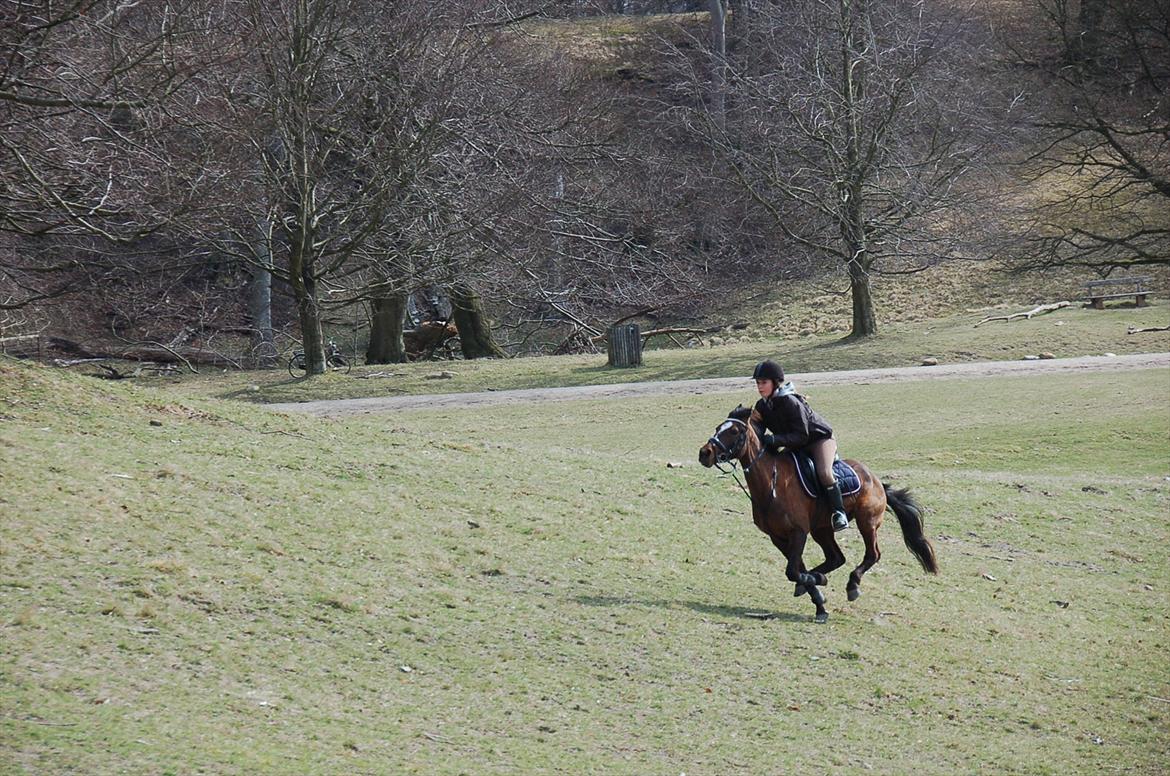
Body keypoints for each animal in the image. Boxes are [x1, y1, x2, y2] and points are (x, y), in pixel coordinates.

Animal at [697, 402, 935, 622]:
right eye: (718, 427)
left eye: (734, 431)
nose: (704, 453)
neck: (771, 483)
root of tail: (876, 480)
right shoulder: (778, 537)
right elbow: (796, 570)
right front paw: (819, 602)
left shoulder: (798, 532)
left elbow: (793, 571)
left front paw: (817, 583)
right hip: (822, 529)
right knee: (836, 558)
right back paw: (821, 576)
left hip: (866, 522)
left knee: (872, 554)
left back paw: (852, 585)